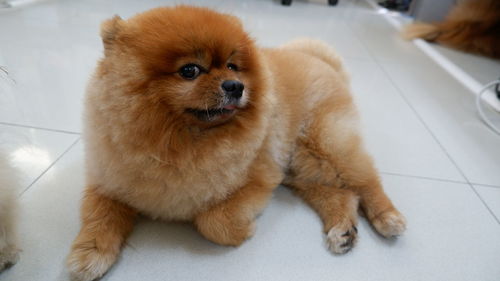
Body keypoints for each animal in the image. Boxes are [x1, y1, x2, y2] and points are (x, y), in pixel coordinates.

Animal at [67, 5, 406, 278]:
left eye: (232, 66)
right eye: (189, 70)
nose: (235, 85)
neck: (178, 142)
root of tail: (319, 59)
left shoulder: (259, 181)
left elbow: (212, 220)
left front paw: (243, 229)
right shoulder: (110, 182)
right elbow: (99, 216)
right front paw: (90, 254)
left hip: (326, 143)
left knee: (365, 181)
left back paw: (387, 217)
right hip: (300, 167)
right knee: (339, 192)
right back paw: (342, 230)